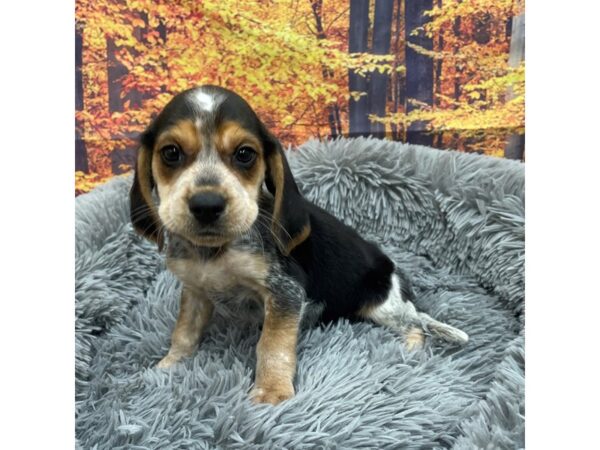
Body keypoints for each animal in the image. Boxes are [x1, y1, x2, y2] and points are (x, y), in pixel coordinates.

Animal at [130, 86, 468, 406]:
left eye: (244, 154)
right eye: (171, 152)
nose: (207, 204)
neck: (215, 252)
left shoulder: (286, 292)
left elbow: (272, 344)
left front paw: (271, 391)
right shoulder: (195, 290)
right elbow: (184, 332)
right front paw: (168, 366)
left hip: (385, 305)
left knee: (416, 326)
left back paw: (408, 351)